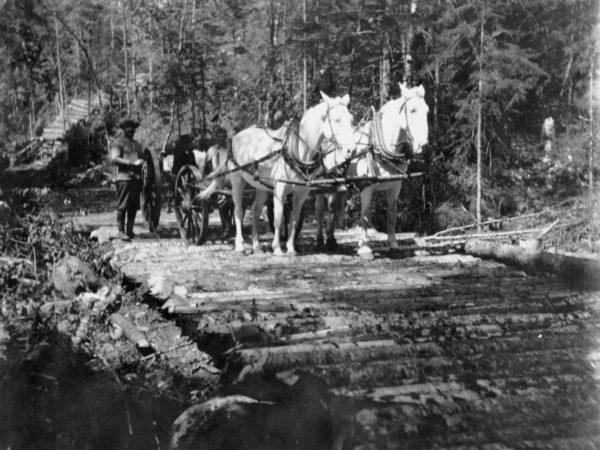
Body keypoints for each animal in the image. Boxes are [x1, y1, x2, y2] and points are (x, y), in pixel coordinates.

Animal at [205, 92, 356, 255]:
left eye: (351, 119)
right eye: (336, 120)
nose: (351, 150)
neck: (298, 149)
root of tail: (235, 137)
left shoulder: (302, 191)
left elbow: (294, 218)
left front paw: (290, 248)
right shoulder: (280, 188)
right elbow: (278, 217)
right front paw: (277, 248)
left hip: (261, 186)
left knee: (255, 209)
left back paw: (256, 246)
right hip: (237, 180)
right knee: (238, 211)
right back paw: (240, 246)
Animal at [314, 83, 426, 260]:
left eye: (427, 110)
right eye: (413, 110)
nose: (423, 144)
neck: (380, 148)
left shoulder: (395, 187)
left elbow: (391, 215)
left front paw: (393, 244)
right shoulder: (366, 188)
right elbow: (365, 216)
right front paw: (365, 248)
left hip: (337, 185)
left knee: (331, 208)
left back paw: (331, 240)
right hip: (321, 183)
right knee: (319, 210)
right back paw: (319, 239)